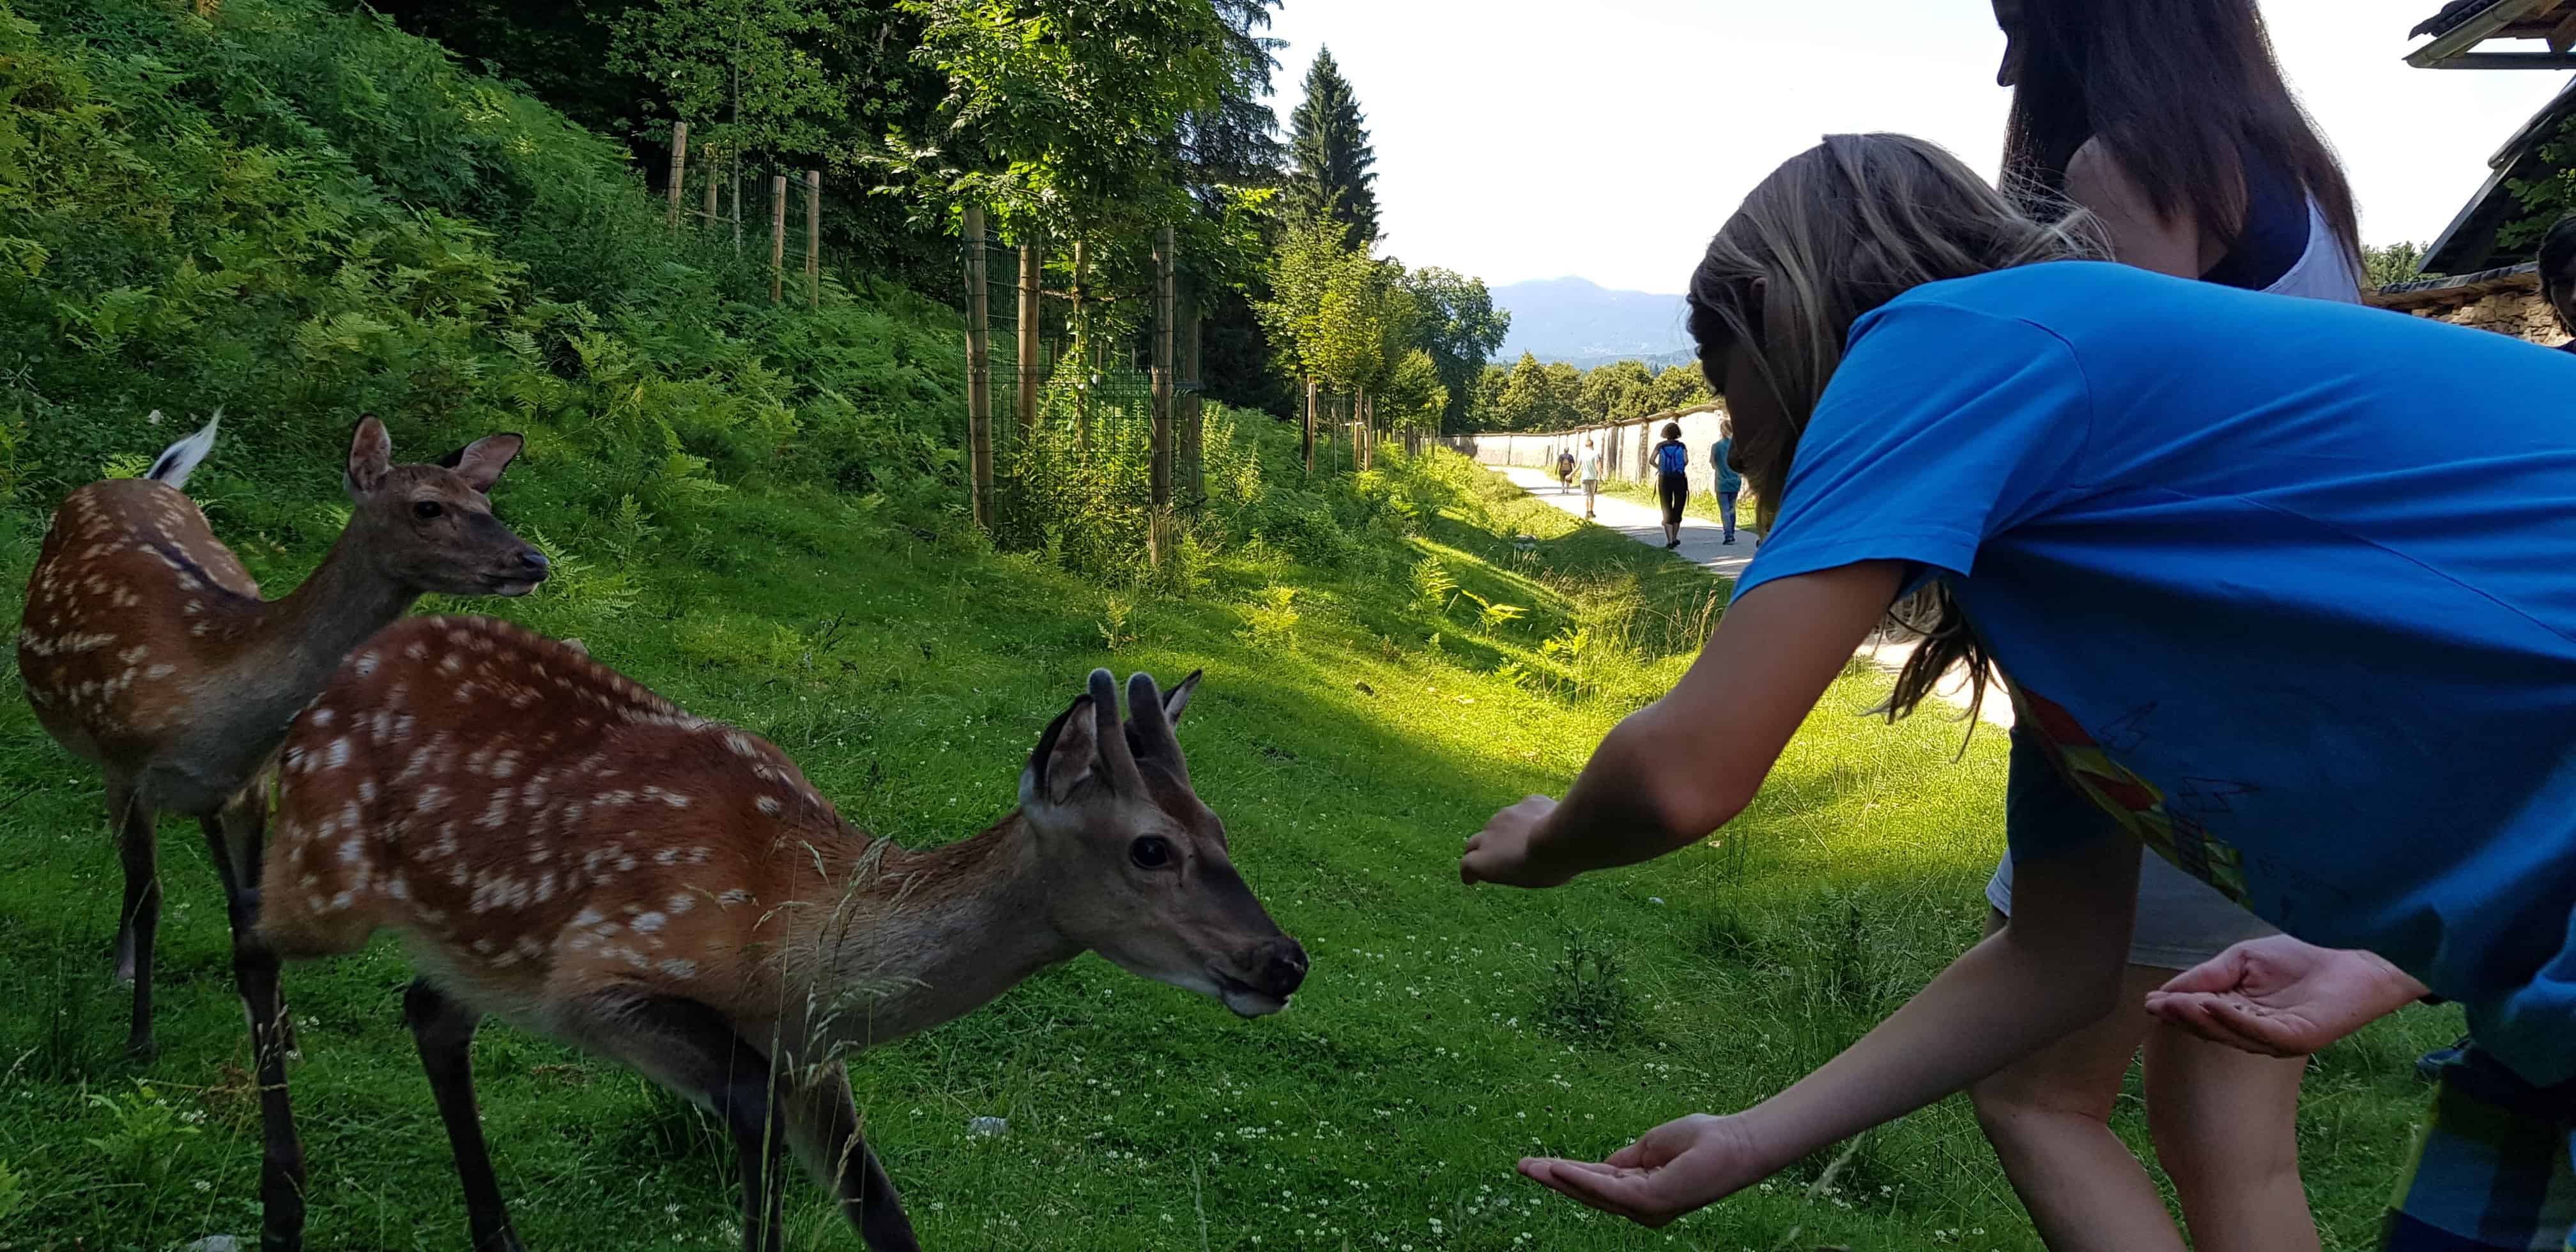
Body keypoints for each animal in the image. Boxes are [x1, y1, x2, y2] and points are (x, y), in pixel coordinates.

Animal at [20, 409, 546, 1241]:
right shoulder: (125, 763)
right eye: (428, 506)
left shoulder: (253, 780)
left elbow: (246, 914)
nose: (532, 560)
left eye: (486, 498)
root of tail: (139, 479)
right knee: (142, 881)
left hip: (216, 795)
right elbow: (150, 893)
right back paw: (124, 969)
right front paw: (140, 1037)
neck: (208, 689)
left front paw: (287, 1037)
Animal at [259, 620, 1308, 1252]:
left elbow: (885, 1215)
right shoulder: (595, 979)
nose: (1285, 961)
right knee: (256, 944)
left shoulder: (813, 1052)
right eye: (1150, 847)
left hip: (466, 940)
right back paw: (283, 1200)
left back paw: (497, 1235)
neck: (793, 945)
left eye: (1221, 827)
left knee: (430, 1008)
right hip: (322, 859)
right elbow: (745, 1103)